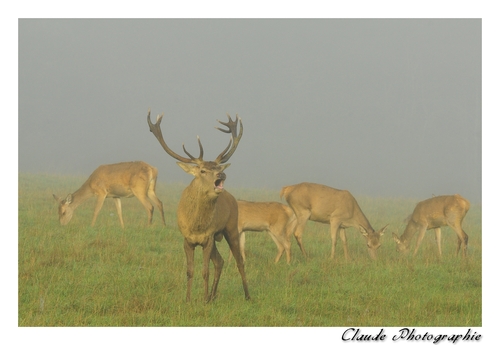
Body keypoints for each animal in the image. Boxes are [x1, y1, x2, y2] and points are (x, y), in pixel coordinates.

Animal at [147, 109, 250, 302]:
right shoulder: (187, 239)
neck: (196, 225)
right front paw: (188, 299)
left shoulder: (207, 238)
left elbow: (204, 271)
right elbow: (190, 270)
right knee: (220, 261)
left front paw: (202, 299)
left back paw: (246, 295)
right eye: (202, 170)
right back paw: (213, 296)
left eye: (217, 167)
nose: (222, 174)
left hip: (231, 227)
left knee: (239, 261)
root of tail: (231, 197)